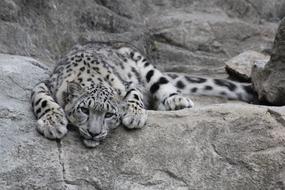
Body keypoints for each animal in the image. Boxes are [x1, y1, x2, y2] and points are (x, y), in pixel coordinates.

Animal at [30, 41, 254, 148]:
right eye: (84, 109)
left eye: (109, 114)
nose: (94, 132)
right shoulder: (43, 85)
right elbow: (44, 101)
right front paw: (53, 124)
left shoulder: (128, 85)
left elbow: (135, 96)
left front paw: (135, 116)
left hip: (146, 66)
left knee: (163, 84)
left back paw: (177, 100)